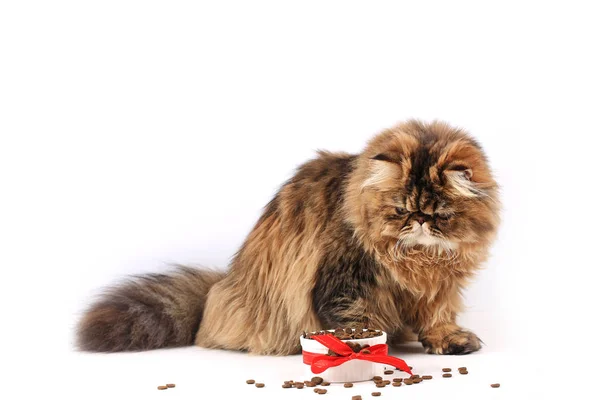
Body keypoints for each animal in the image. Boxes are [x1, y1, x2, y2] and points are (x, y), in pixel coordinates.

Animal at [79, 119, 502, 356]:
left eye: (439, 215)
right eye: (401, 211)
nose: (418, 222)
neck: (419, 261)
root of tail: (223, 285)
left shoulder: (440, 287)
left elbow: (437, 317)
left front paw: (448, 340)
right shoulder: (345, 279)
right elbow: (357, 320)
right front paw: (362, 352)